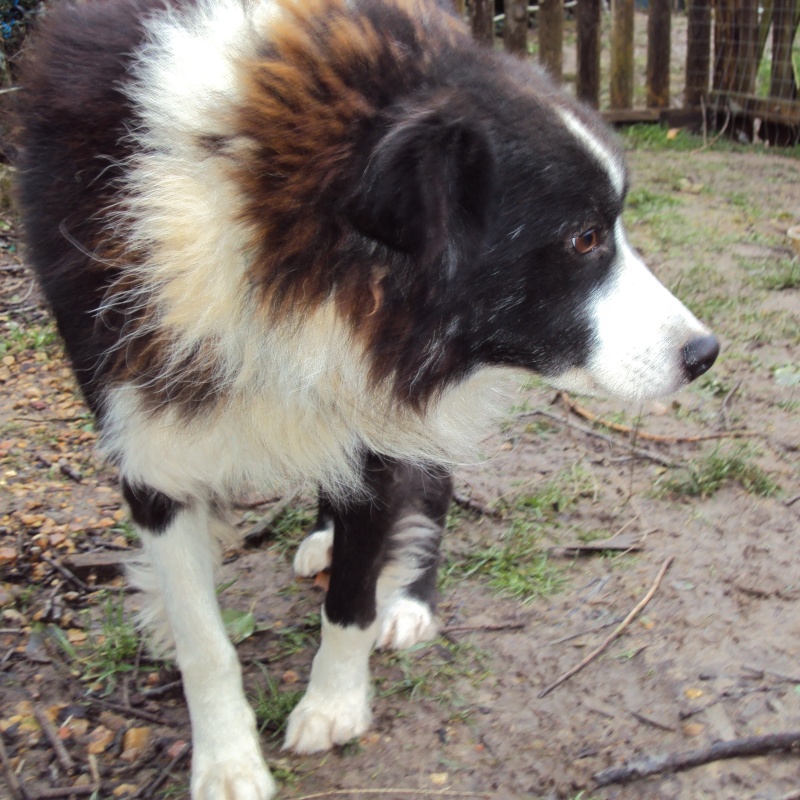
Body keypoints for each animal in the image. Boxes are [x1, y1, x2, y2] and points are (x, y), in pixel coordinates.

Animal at [15, 0, 720, 796]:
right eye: (584, 238)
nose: (704, 354)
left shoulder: (386, 397)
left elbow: (352, 596)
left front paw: (334, 704)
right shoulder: (144, 426)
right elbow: (203, 636)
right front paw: (227, 757)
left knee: (433, 487)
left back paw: (406, 598)